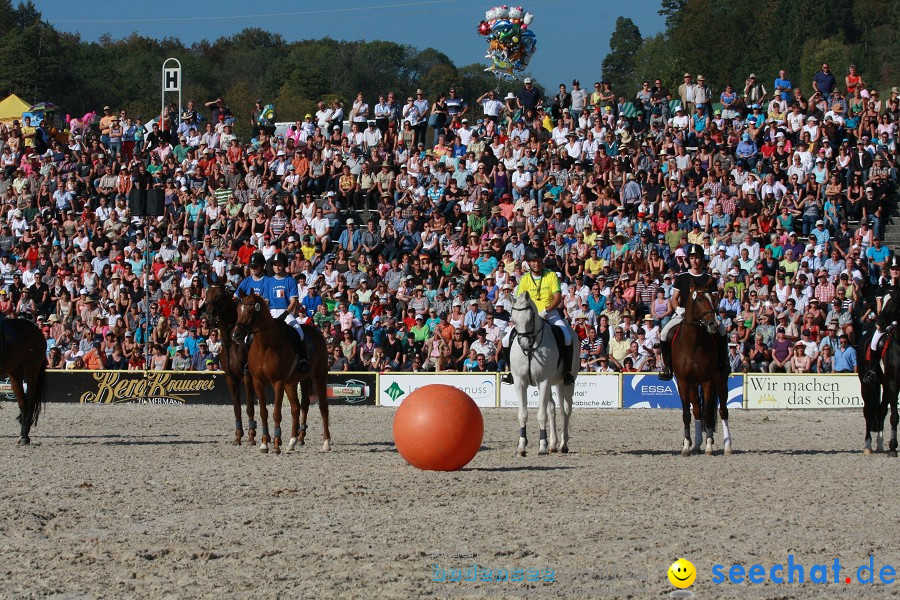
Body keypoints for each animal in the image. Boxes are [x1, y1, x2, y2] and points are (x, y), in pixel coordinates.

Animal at [203, 284, 256, 446]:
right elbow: (237, 408)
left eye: (220, 295)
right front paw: (238, 436)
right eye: (207, 293)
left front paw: (251, 436)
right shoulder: (230, 379)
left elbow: (249, 407)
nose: (209, 313)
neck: (232, 343)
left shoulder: (247, 376)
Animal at [232, 292, 330, 454]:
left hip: (319, 376)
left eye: (251, 311)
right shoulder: (258, 382)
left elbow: (276, 413)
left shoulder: (277, 382)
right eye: (238, 310)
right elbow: (263, 412)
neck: (265, 345)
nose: (236, 335)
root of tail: (316, 331)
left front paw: (276, 445)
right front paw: (265, 443)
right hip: (292, 382)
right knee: (296, 408)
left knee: (323, 407)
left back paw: (326, 442)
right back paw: (292, 442)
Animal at [506, 292, 576, 458]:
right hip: (551, 384)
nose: (525, 345)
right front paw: (521, 447)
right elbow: (523, 414)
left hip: (566, 381)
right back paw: (553, 445)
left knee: (566, 409)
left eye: (531, 317)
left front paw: (542, 446)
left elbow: (541, 414)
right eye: (513, 319)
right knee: (552, 409)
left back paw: (563, 445)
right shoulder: (520, 382)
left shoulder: (543, 381)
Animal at [672, 286, 736, 454]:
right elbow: (687, 414)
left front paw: (709, 446)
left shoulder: (708, 381)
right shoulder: (683, 382)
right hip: (694, 385)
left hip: (720, 381)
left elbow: (708, 414)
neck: (693, 344)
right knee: (697, 410)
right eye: (699, 299)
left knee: (722, 411)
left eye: (714, 299)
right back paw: (696, 445)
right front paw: (686, 446)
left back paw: (727, 446)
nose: (713, 324)